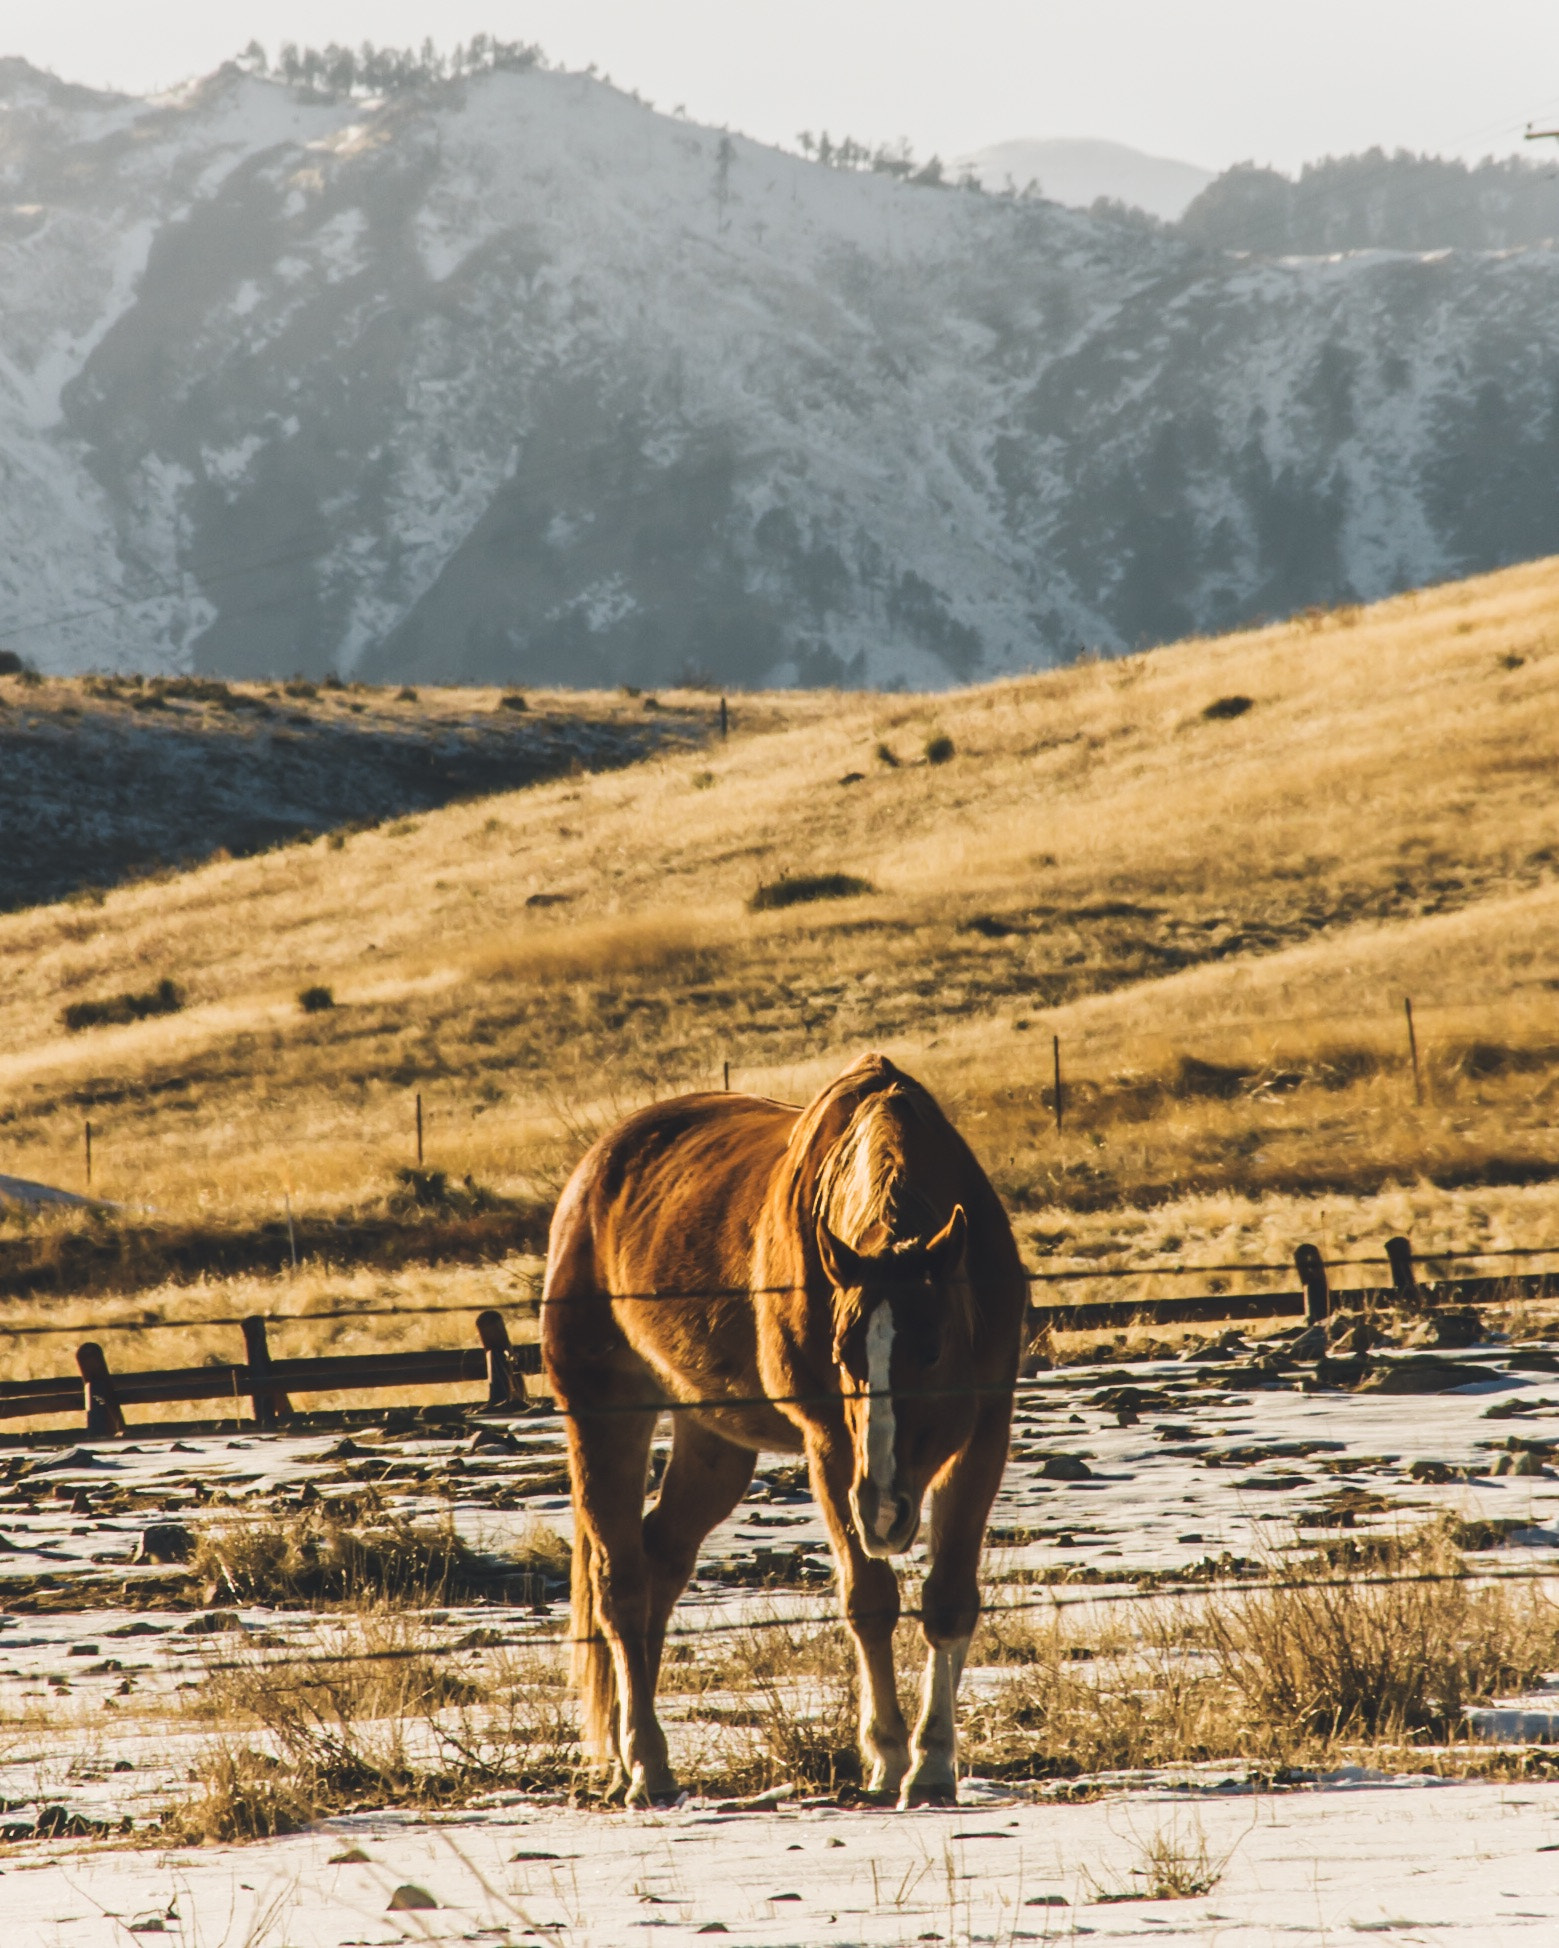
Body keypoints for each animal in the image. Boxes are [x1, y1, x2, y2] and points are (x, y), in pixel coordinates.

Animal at [541, 1059, 1028, 1799]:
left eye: (934, 1349)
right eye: (843, 1356)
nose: (884, 1509)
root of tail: (592, 1174)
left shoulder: (984, 1432)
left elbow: (948, 1599)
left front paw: (935, 1763)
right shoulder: (830, 1447)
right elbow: (868, 1601)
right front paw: (889, 1756)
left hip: (712, 1441)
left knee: (660, 1560)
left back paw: (634, 1755)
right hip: (602, 1414)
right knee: (619, 1582)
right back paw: (646, 1763)